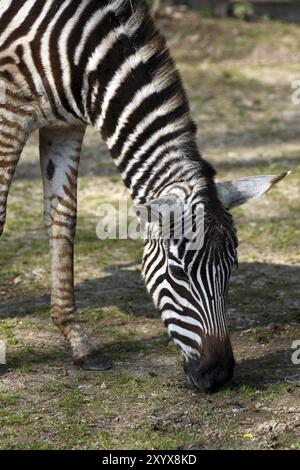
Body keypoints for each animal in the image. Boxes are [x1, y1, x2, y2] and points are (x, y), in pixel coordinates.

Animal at [0, 0, 288, 392]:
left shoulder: (66, 124)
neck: (83, 45)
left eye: (233, 267)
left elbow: (63, 217)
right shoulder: (9, 111)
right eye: (179, 272)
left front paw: (78, 340)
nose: (218, 375)